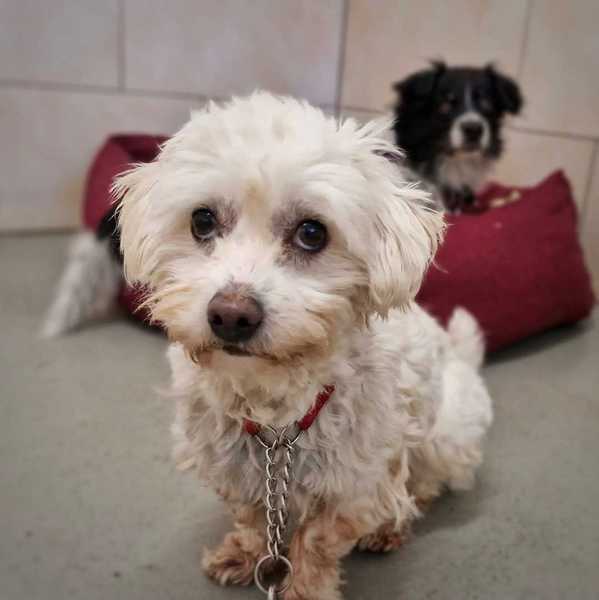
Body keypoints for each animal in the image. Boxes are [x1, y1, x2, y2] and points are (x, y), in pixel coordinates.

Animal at [112, 92, 493, 600]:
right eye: (202, 220)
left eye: (312, 233)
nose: (231, 315)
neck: (275, 417)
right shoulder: (236, 471)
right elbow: (253, 518)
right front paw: (246, 554)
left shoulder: (350, 483)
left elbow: (316, 543)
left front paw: (306, 589)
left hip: (444, 436)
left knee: (419, 484)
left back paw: (391, 524)